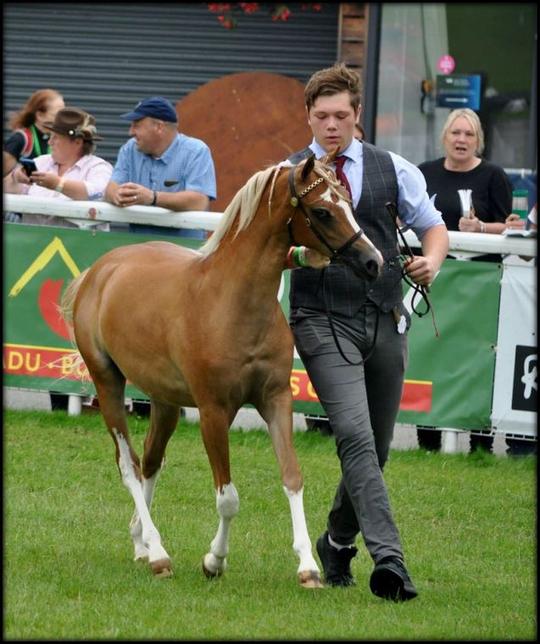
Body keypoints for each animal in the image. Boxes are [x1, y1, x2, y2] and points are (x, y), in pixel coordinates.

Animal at [61, 152, 382, 588]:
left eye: (348, 203)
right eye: (322, 211)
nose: (373, 262)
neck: (231, 303)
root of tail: (100, 271)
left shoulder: (275, 400)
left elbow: (292, 478)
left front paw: (308, 567)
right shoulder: (214, 411)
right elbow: (228, 497)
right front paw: (214, 560)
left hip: (164, 401)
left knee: (151, 461)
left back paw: (141, 542)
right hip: (108, 383)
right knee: (128, 464)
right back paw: (158, 553)